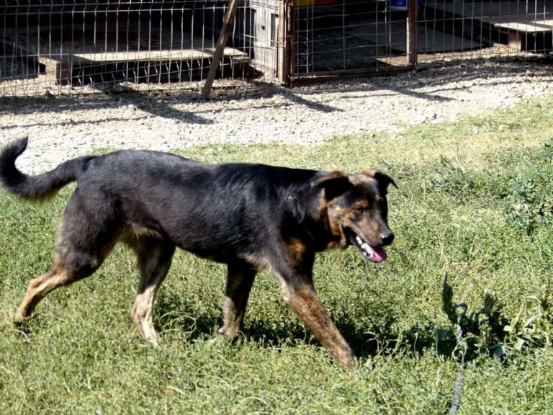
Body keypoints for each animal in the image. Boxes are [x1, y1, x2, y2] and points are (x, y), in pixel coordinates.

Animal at [0, 138, 396, 368]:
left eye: (382, 206)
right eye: (359, 210)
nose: (388, 237)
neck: (300, 201)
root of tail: (90, 162)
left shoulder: (241, 269)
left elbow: (233, 321)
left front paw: (214, 347)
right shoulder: (296, 286)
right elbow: (334, 336)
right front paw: (358, 373)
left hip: (160, 256)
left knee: (139, 308)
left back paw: (160, 349)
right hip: (85, 255)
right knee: (36, 283)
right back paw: (19, 324)